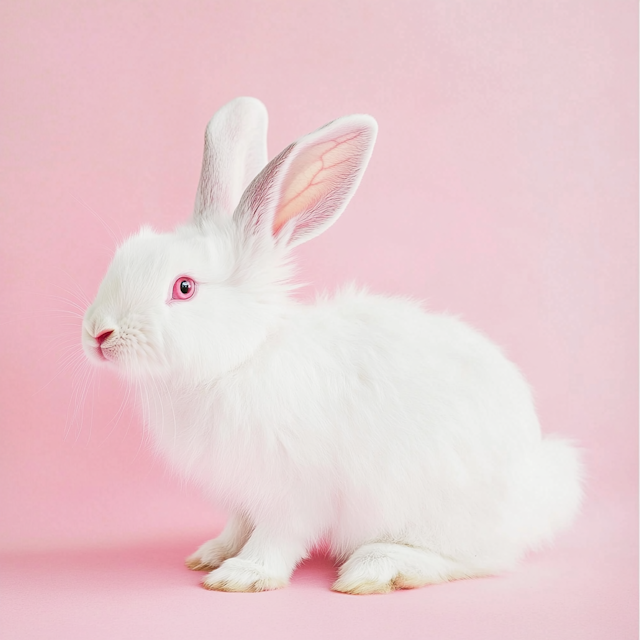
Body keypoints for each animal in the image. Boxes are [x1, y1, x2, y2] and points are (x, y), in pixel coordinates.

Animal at [82, 96, 584, 596]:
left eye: (184, 288)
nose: (97, 333)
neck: (241, 359)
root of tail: (534, 495)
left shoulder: (295, 492)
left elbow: (277, 537)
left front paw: (243, 575)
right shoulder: (244, 496)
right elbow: (238, 526)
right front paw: (212, 555)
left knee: (478, 560)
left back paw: (379, 568)